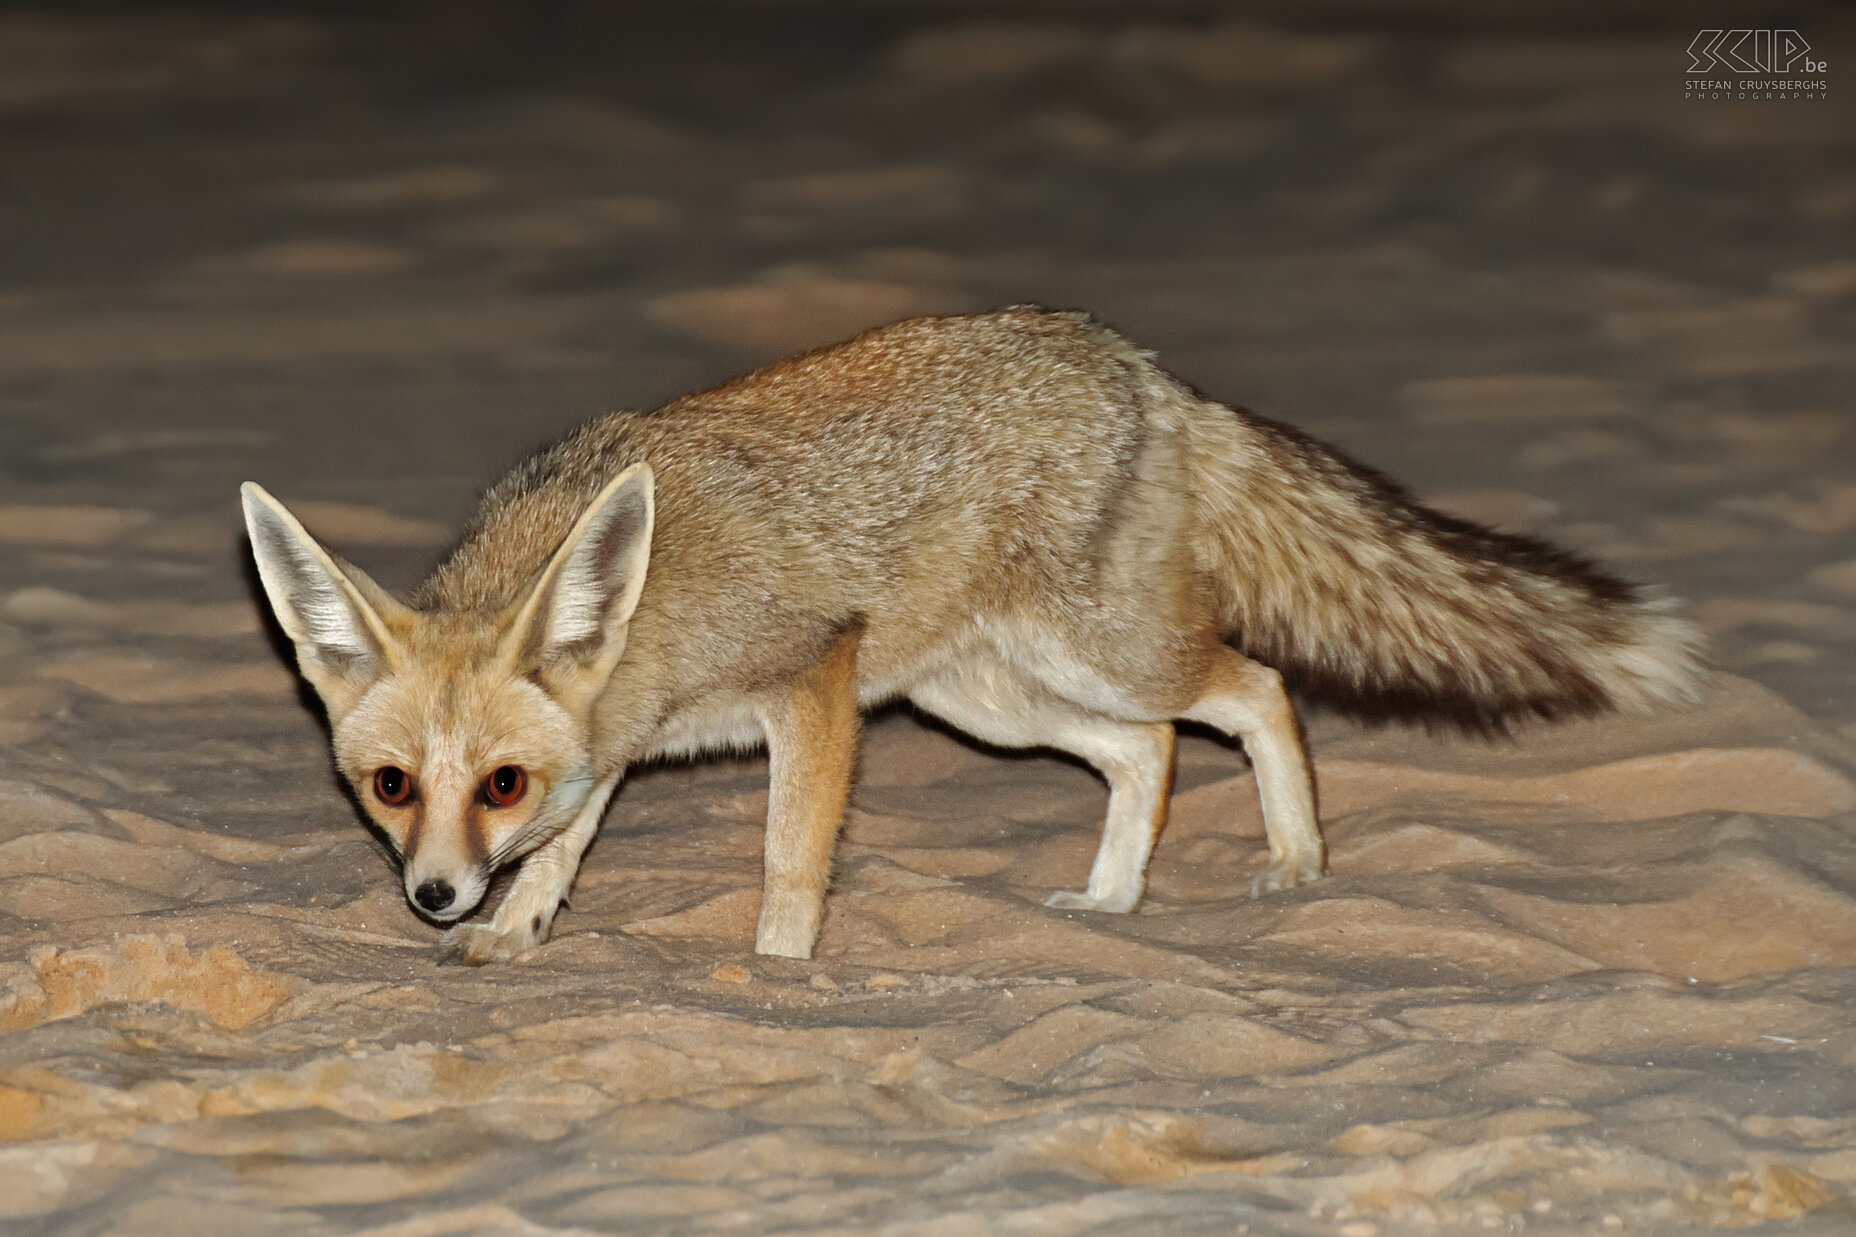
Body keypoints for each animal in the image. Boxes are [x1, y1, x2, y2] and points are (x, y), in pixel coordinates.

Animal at [246, 308, 1707, 965]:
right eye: (392, 787)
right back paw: (1114, 900)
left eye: (497, 780)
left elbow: (789, 858)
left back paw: (1298, 860)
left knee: (1253, 688)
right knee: (1144, 754)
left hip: (1090, 652)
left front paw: (778, 974)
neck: (656, 606)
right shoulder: (611, 741)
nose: (433, 895)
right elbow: (571, 844)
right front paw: (517, 927)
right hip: (988, 699)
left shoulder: (813, 678)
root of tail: (1146, 372)